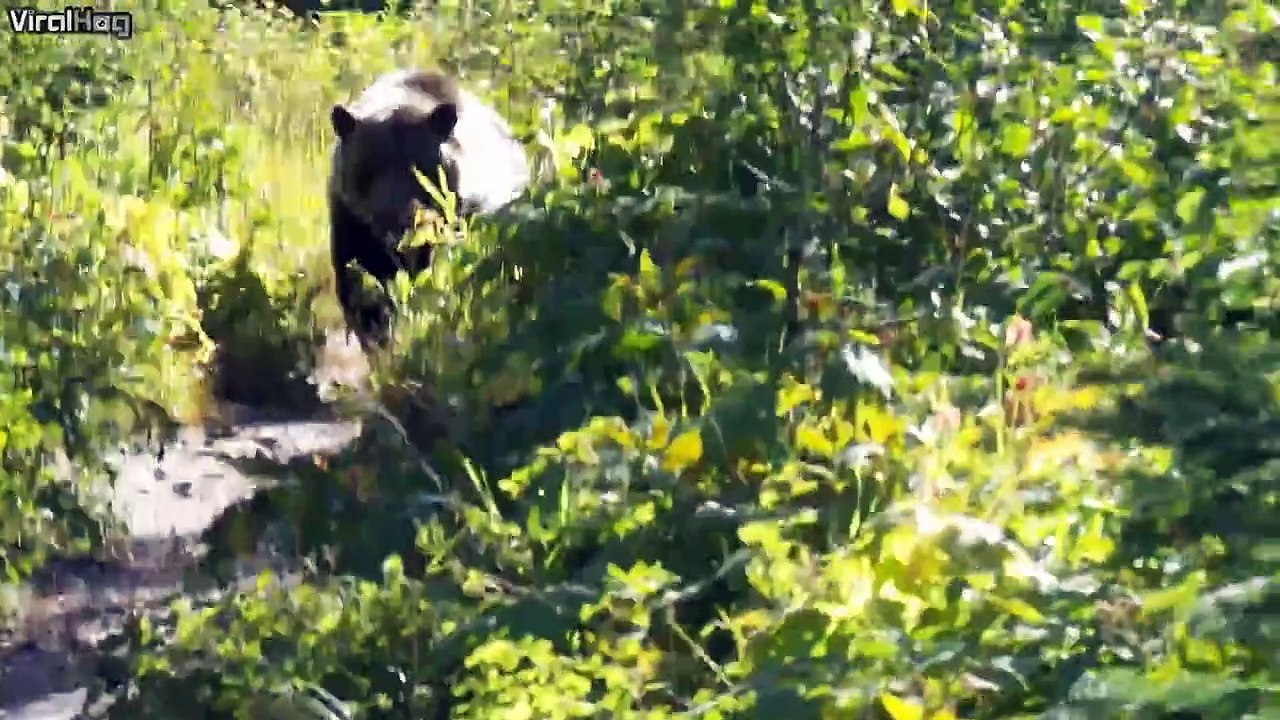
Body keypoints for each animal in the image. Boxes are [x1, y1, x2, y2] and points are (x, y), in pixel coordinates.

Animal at [327, 68, 530, 350]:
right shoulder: (351, 220)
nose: (400, 222)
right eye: (367, 168)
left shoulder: (462, 214)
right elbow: (360, 284)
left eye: (421, 168)